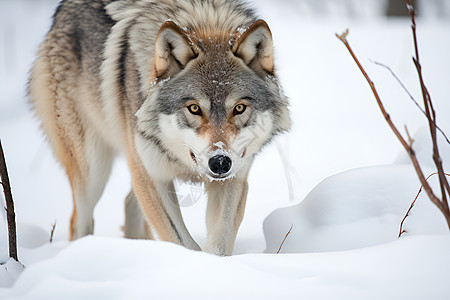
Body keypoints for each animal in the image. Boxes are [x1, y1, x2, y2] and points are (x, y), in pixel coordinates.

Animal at [28, 0, 290, 255]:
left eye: (239, 108)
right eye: (194, 108)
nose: (220, 162)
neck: (203, 20)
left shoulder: (233, 179)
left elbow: (219, 245)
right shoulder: (151, 177)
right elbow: (183, 243)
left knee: (128, 202)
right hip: (94, 172)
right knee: (80, 220)